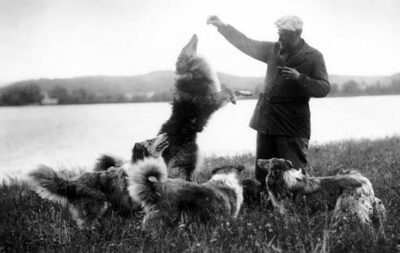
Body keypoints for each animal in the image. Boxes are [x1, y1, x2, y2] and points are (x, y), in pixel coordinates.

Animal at [159, 33, 250, 181]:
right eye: (185, 46)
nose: (195, 34)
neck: (191, 72)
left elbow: (235, 89)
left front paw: (246, 93)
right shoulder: (213, 100)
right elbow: (228, 90)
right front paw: (234, 98)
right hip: (188, 159)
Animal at [258, 158, 386, 237]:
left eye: (269, 161)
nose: (258, 160)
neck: (285, 176)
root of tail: (366, 182)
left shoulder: (292, 214)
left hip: (347, 209)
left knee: (367, 227)